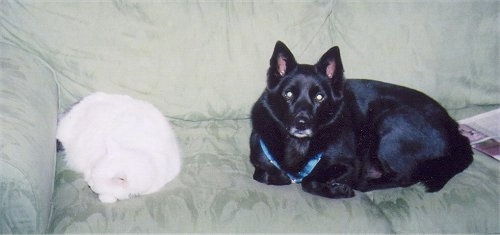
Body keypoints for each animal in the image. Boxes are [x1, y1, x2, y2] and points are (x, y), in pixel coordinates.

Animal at [250, 40, 472, 198]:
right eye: (288, 94)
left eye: (320, 97)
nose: (301, 124)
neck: (299, 145)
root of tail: (455, 130)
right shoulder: (261, 163)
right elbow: (263, 175)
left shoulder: (349, 165)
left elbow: (308, 181)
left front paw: (337, 189)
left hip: (389, 122)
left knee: (405, 178)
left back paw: (361, 183)